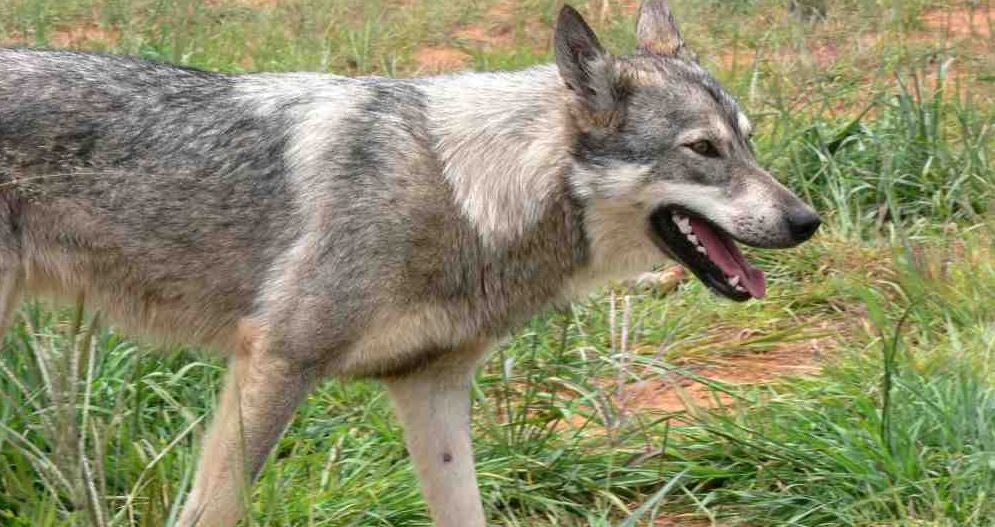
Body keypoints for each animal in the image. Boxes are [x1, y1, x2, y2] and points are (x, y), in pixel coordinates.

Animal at [0, 1, 820, 525]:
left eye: (748, 142)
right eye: (703, 149)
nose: (807, 221)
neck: (465, 192)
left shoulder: (431, 389)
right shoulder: (276, 361)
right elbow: (213, 510)